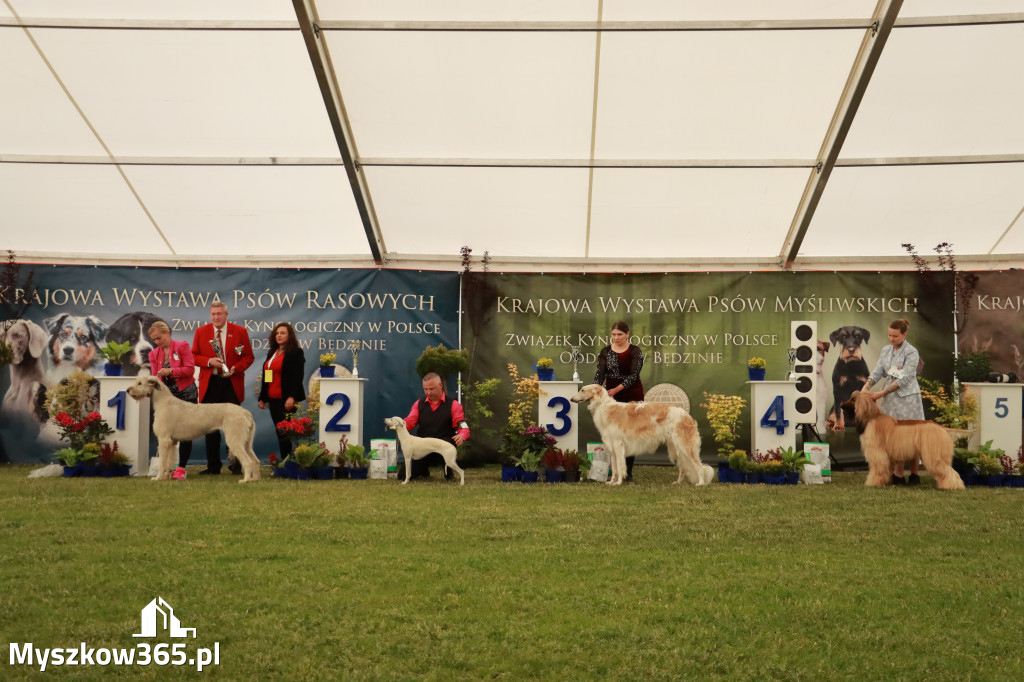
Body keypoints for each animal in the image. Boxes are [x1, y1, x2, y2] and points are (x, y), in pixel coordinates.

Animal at [126, 374, 262, 481]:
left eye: (139, 383)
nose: (127, 390)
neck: (164, 401)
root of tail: (246, 413)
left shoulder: (164, 440)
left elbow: (162, 463)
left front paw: (158, 478)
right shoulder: (172, 442)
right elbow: (168, 462)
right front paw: (166, 477)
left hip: (235, 440)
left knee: (248, 462)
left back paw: (245, 480)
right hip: (247, 442)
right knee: (255, 460)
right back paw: (255, 479)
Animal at [569, 382, 712, 483]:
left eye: (582, 390)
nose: (571, 399)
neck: (606, 408)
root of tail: (688, 416)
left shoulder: (618, 445)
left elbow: (620, 467)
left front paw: (618, 482)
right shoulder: (612, 447)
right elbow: (614, 469)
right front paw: (611, 482)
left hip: (685, 447)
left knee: (698, 466)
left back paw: (700, 483)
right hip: (676, 448)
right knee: (683, 468)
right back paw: (678, 482)